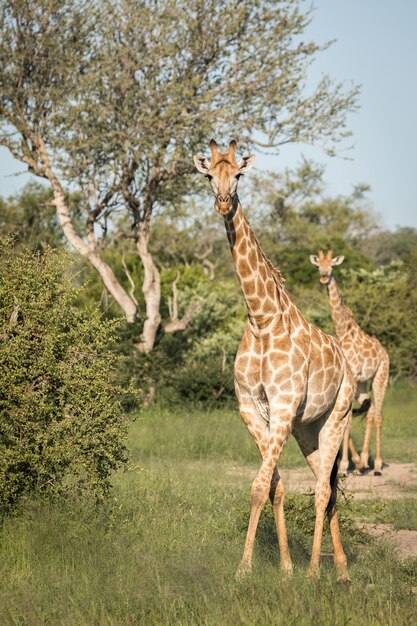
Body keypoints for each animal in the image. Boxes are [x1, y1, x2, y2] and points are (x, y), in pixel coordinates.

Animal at [193, 140, 352, 580]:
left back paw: (317, 570)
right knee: (327, 484)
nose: (223, 203)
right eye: (208, 175)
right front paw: (282, 566)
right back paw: (341, 570)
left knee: (323, 488)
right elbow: (274, 485)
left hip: (339, 417)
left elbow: (260, 485)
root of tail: (348, 364)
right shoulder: (252, 407)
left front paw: (245, 569)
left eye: (239, 174)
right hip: (307, 428)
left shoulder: (281, 405)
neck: (261, 318)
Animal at [308, 249, 390, 472]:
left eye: (332, 266)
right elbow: (346, 421)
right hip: (362, 384)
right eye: (318, 265)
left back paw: (377, 465)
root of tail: (385, 352)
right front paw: (353, 462)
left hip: (381, 377)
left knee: (378, 414)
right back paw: (364, 461)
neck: (342, 329)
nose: (324, 276)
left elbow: (348, 421)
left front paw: (344, 465)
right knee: (370, 411)